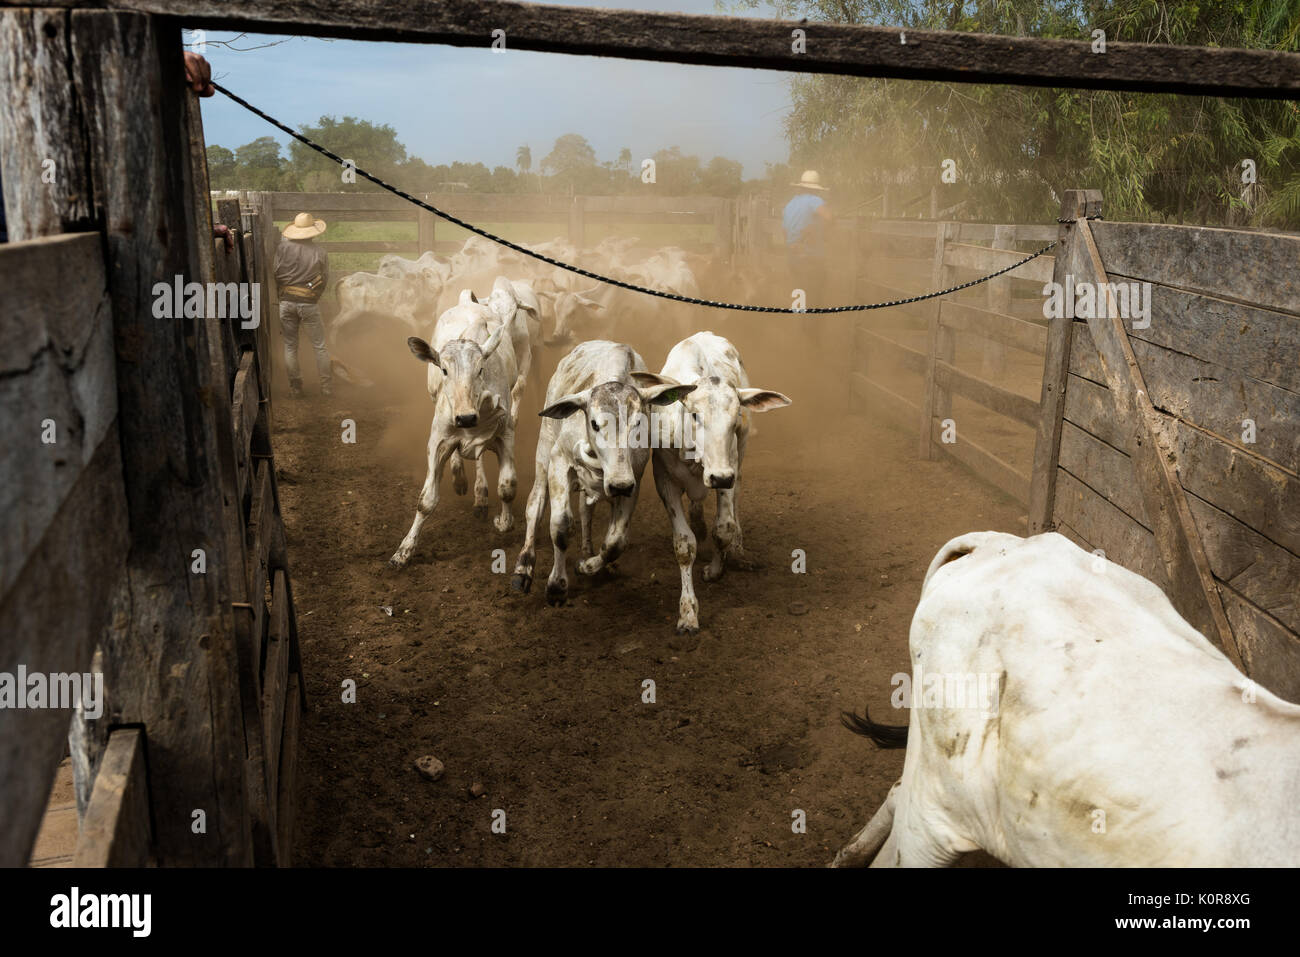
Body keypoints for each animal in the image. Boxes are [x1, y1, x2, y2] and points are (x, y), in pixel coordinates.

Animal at [387, 287, 520, 564]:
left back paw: (480, 496)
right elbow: (426, 500)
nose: (466, 418)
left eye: (480, 369)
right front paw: (404, 551)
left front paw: (503, 521)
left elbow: (507, 486)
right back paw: (460, 479)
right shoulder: (438, 439)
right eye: (445, 370)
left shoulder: (505, 434)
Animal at [506, 343, 696, 605]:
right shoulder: (559, 461)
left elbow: (616, 541)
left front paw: (587, 566)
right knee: (535, 505)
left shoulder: (632, 481)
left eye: (639, 423)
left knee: (586, 512)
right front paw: (556, 586)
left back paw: (587, 553)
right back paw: (523, 567)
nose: (618, 485)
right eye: (595, 424)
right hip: (544, 453)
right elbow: (561, 526)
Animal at [631, 330, 790, 634]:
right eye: (695, 415)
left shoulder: (729, 467)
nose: (719, 477)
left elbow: (723, 529)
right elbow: (684, 545)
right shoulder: (664, 480)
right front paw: (687, 614)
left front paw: (716, 569)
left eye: (734, 417)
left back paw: (737, 547)